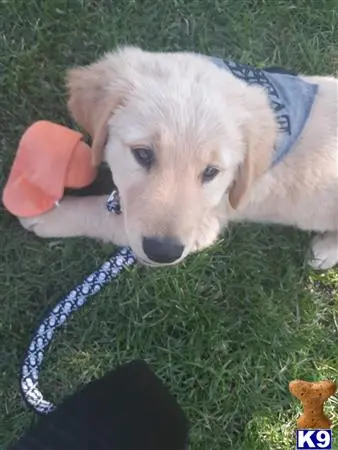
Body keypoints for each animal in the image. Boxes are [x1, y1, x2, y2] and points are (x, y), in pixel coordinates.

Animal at [20, 47, 338, 268]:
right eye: (143, 154)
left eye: (211, 172)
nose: (163, 252)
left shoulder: (204, 225)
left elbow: (102, 215)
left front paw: (51, 216)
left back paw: (323, 252)